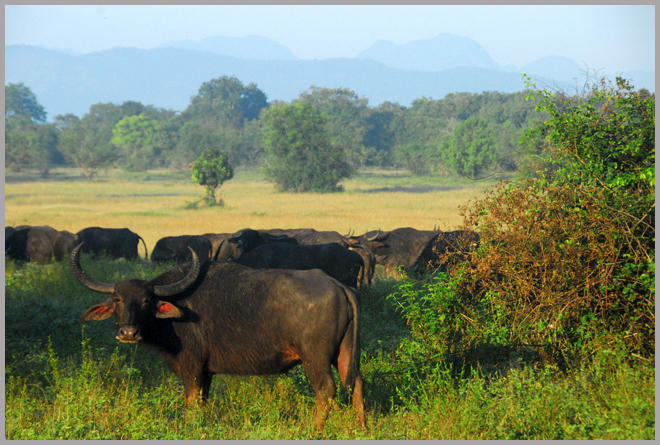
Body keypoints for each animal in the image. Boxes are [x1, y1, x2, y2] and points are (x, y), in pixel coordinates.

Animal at [72, 241, 366, 428]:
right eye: (117, 300)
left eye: (146, 300)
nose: (128, 332)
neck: (177, 310)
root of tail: (338, 286)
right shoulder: (206, 372)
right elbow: (202, 403)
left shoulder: (191, 368)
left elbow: (191, 404)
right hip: (344, 353)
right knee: (357, 384)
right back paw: (360, 427)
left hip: (315, 358)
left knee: (326, 390)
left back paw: (313, 430)